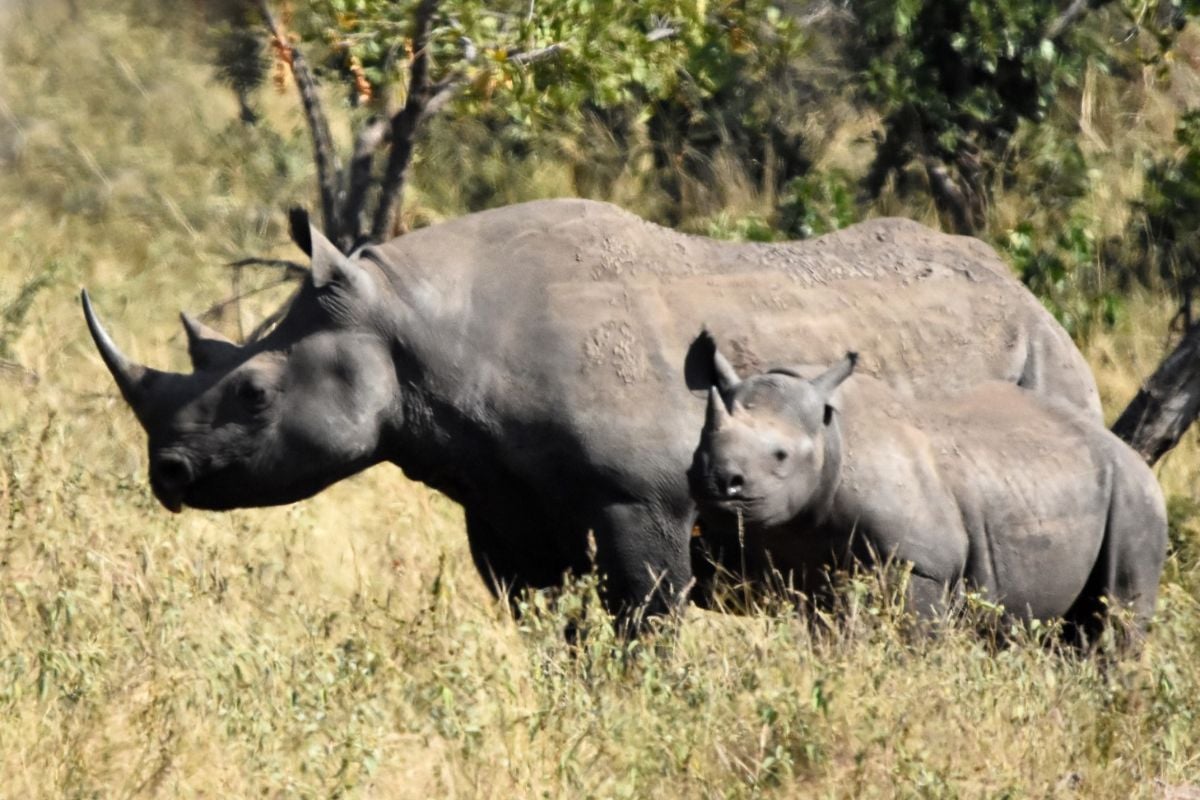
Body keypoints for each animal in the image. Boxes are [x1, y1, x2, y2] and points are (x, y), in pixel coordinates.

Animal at [81, 198, 1103, 627]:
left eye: (254, 394)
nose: (167, 475)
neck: (421, 324)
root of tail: (1037, 301)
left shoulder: (643, 499)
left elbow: (645, 622)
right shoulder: (503, 506)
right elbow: (548, 630)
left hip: (1046, 368)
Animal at [687, 334, 1166, 639]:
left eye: (781, 456)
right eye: (699, 448)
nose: (718, 482)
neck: (831, 435)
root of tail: (1133, 457)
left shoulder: (921, 562)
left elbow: (913, 634)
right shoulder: (802, 564)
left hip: (1135, 496)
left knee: (1114, 620)